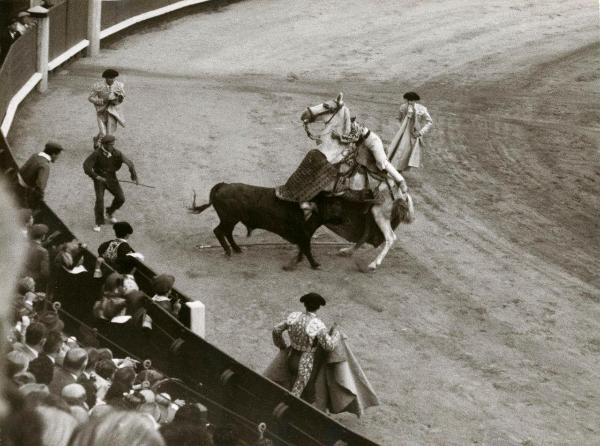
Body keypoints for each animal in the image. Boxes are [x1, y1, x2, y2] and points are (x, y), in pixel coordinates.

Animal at [190, 182, 410, 270]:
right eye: (335, 205)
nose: (344, 220)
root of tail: (223, 185)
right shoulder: (304, 234)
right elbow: (307, 248)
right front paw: (314, 264)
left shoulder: (303, 235)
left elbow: (303, 249)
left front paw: (296, 262)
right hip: (229, 218)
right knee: (220, 231)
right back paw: (229, 251)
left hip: (231, 219)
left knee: (226, 232)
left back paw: (236, 249)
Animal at [298, 92, 412, 270]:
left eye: (326, 105)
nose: (304, 114)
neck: (333, 150)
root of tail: (402, 195)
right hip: (370, 212)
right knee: (366, 234)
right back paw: (347, 251)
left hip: (381, 214)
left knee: (390, 238)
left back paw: (373, 264)